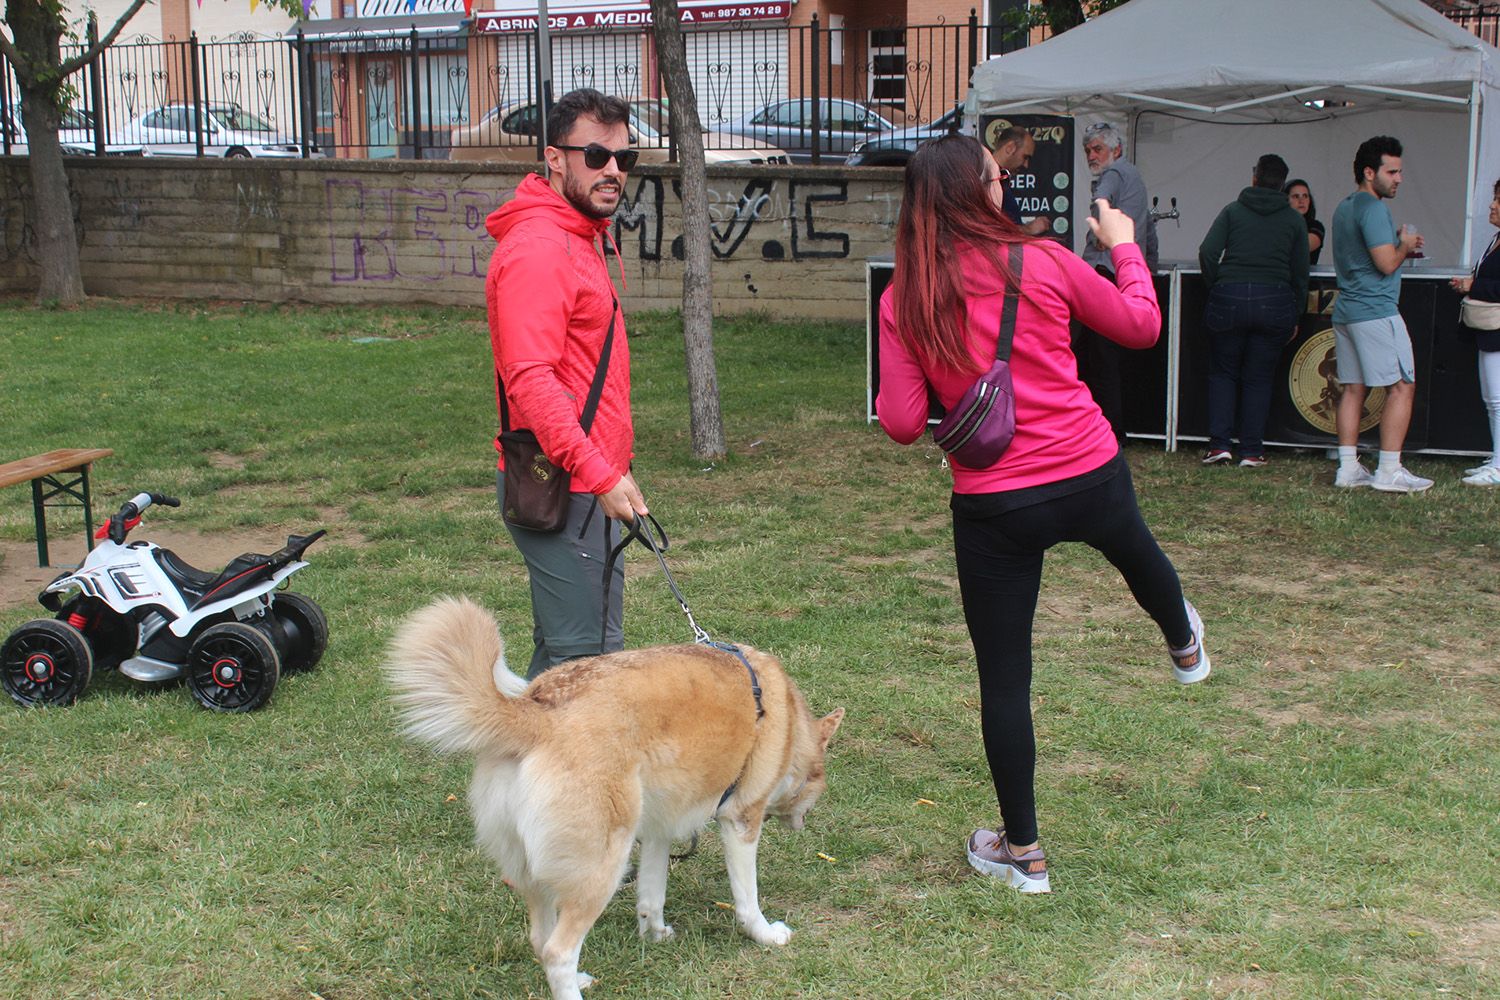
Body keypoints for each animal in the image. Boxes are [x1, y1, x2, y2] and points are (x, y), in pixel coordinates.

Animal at [384, 599, 846, 995]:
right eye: (818, 784)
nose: (803, 823)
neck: (788, 720)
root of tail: (537, 708)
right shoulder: (739, 820)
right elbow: (747, 898)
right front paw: (765, 935)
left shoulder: (658, 830)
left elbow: (651, 895)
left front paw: (656, 934)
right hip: (601, 866)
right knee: (558, 951)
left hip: (535, 868)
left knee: (540, 938)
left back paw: (580, 976)